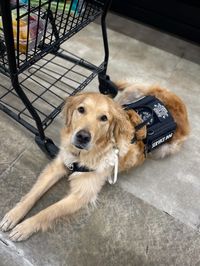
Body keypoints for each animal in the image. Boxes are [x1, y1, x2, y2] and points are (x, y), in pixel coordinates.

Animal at [0, 81, 189, 241]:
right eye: (81, 109)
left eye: (104, 118)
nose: (83, 136)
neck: (81, 155)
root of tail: (178, 103)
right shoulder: (58, 165)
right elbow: (32, 195)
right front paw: (13, 215)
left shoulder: (82, 194)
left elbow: (48, 211)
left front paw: (25, 227)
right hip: (129, 96)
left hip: (165, 149)